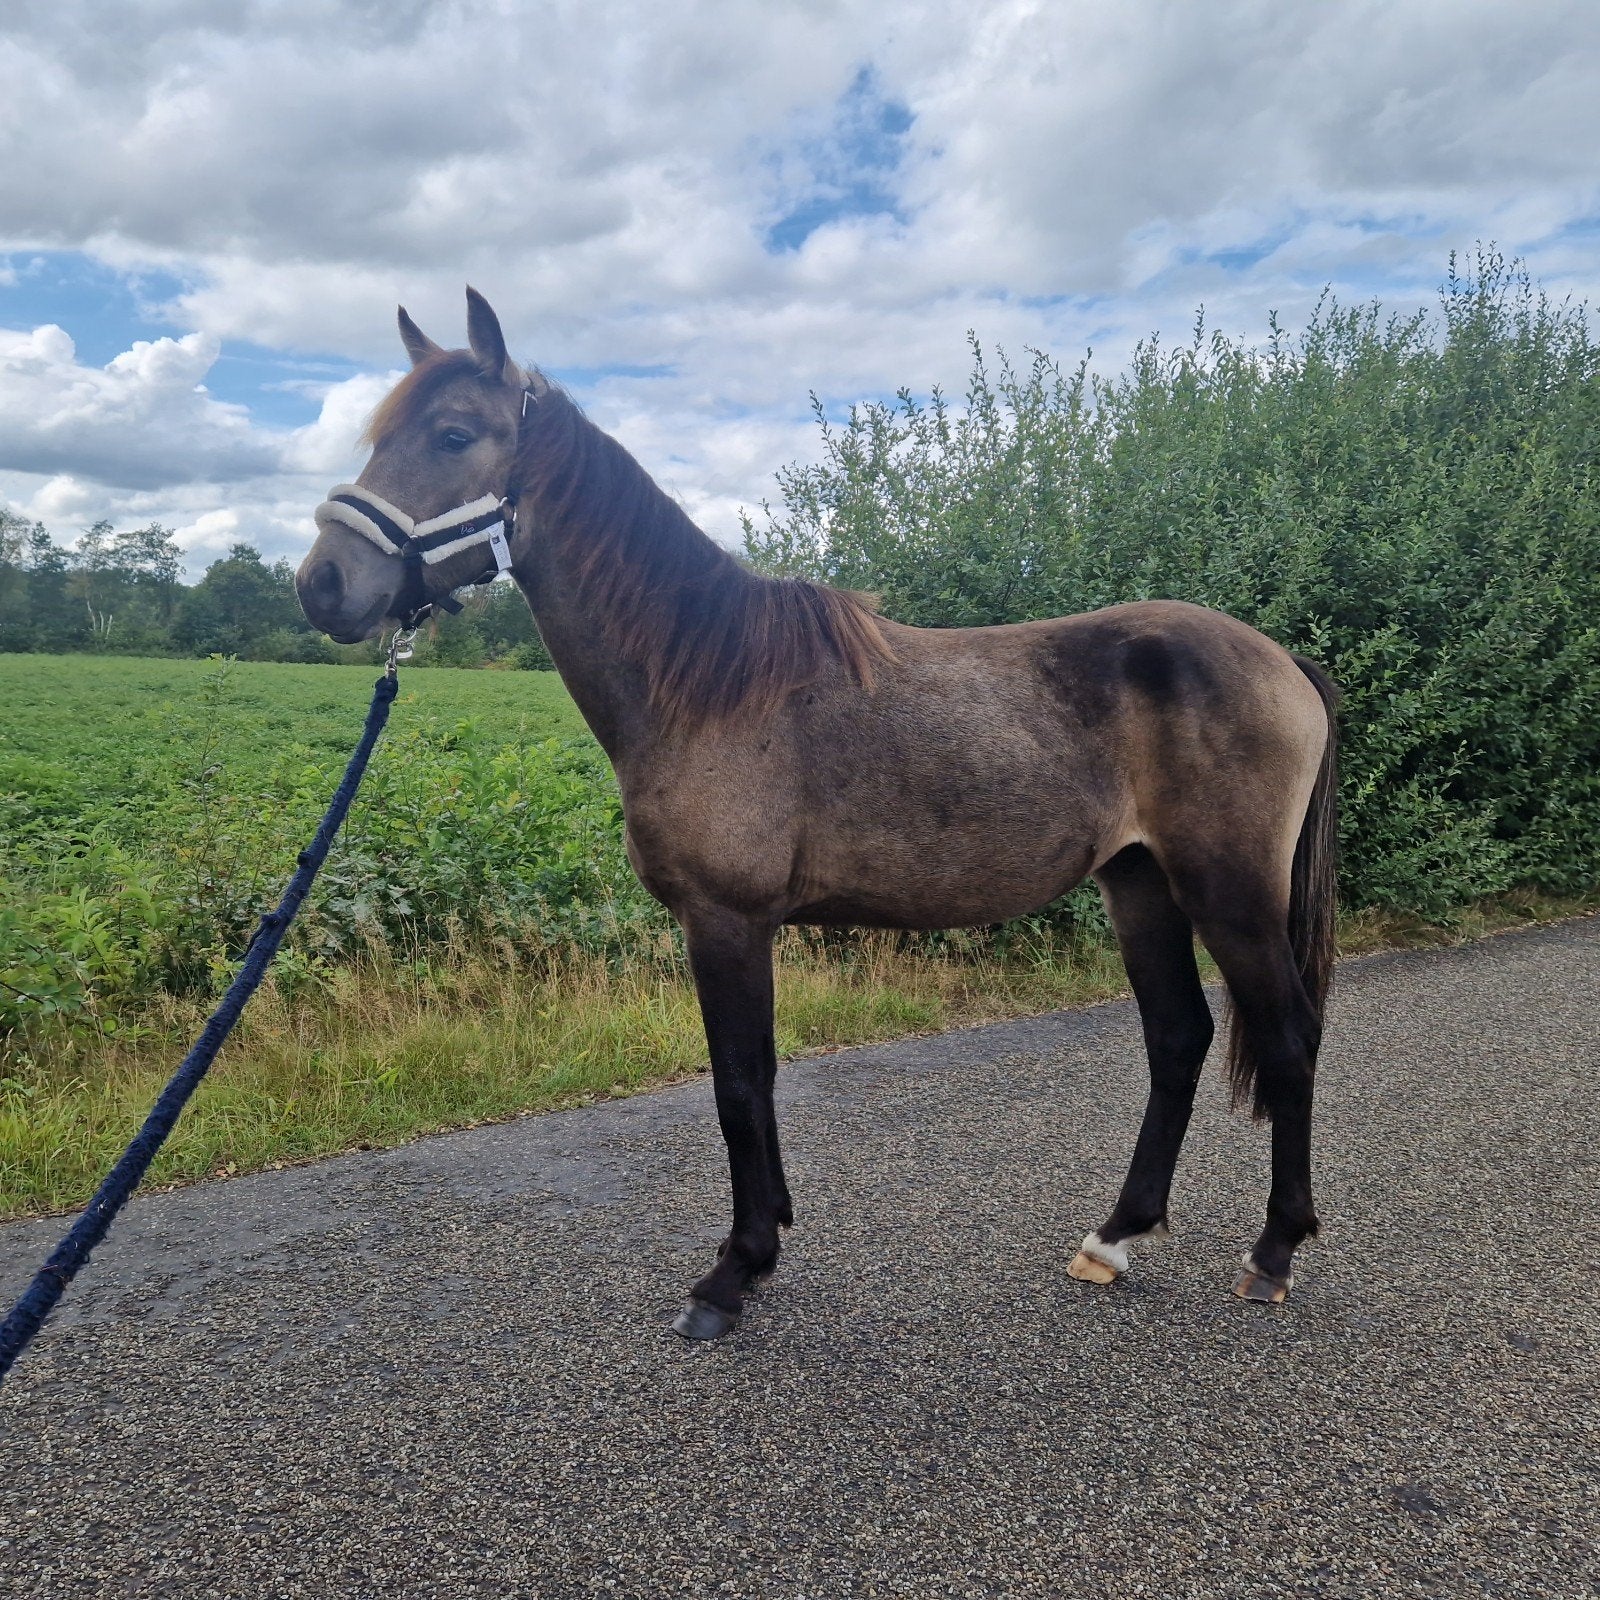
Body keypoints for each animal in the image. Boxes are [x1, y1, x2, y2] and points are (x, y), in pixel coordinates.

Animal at [296, 288, 1339, 1340]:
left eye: (452, 433)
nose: (323, 584)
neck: (705, 684)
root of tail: (1285, 664)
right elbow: (753, 1078)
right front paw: (760, 1247)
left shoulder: (724, 919)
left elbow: (737, 1085)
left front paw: (732, 1272)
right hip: (1141, 885)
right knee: (1178, 1039)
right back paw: (1114, 1237)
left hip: (1227, 893)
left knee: (1288, 1036)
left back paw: (1274, 1251)